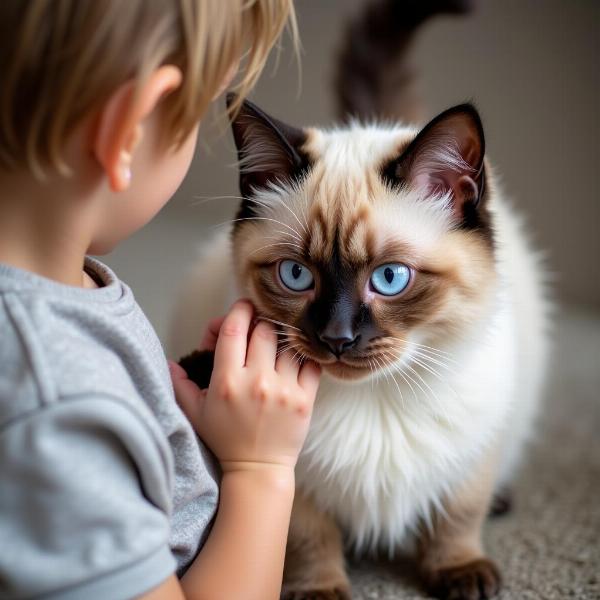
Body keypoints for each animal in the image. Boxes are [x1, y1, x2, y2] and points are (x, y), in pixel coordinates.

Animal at [170, 2, 548, 596]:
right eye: (296, 275)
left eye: (389, 278)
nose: (337, 338)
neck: (376, 399)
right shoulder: (295, 477)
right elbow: (304, 536)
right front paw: (320, 589)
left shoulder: (477, 444)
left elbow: (458, 513)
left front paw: (459, 570)